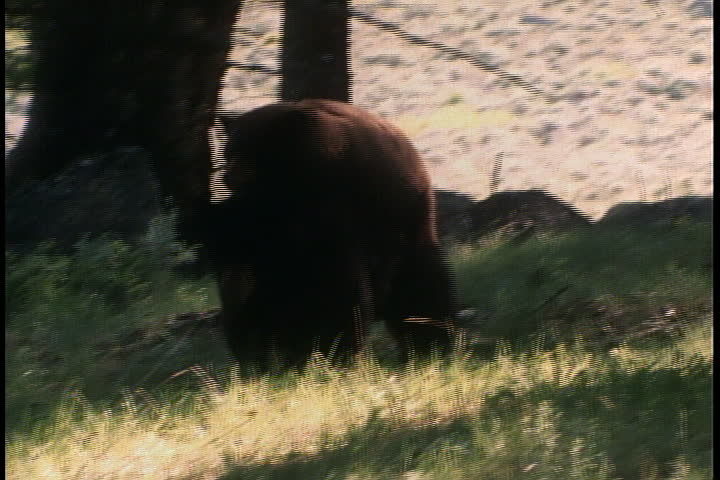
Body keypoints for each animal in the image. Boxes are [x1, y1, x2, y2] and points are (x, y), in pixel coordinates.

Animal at [205, 99, 458, 370]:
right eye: (228, 151)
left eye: (252, 150)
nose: (228, 175)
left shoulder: (328, 207)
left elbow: (332, 284)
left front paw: (328, 349)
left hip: (405, 220)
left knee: (416, 278)